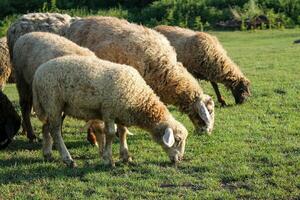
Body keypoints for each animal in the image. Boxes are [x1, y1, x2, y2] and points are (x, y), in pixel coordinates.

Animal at [32, 54, 188, 167]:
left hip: (55, 106)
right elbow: (111, 134)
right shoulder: (109, 111)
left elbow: (123, 132)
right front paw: (108, 159)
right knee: (56, 131)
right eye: (178, 140)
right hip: (53, 102)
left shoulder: (121, 113)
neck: (138, 98)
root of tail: (38, 73)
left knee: (46, 127)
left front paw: (126, 156)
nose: (179, 159)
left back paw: (47, 154)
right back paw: (68, 159)